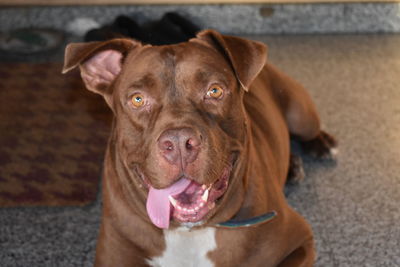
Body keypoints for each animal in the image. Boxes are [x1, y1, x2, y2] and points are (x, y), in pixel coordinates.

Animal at [62, 29, 338, 267]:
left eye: (214, 91)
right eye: (137, 99)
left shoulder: (300, 243)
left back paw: (321, 146)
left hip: (300, 113)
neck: (189, 233)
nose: (179, 143)